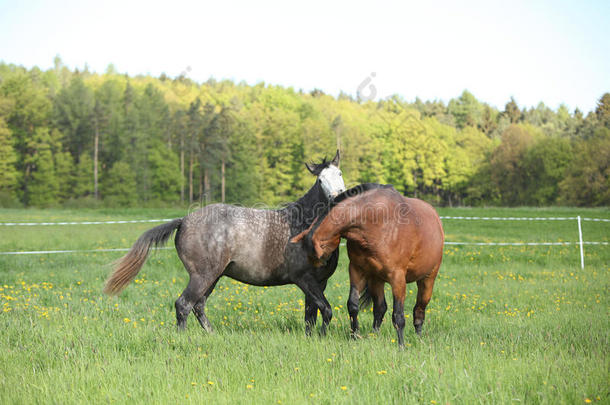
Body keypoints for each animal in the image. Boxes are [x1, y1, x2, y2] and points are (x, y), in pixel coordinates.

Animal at [102, 152, 344, 334]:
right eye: (320, 180)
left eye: (340, 173)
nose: (337, 197)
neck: (302, 225)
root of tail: (184, 221)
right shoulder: (303, 278)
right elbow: (326, 310)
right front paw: (322, 336)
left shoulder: (318, 282)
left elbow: (311, 315)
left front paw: (312, 337)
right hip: (203, 275)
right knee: (184, 304)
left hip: (213, 277)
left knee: (198, 306)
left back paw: (212, 335)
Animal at [290, 185, 442, 346]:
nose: (316, 277)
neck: (377, 223)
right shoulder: (357, 270)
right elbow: (353, 305)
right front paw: (354, 336)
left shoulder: (397, 277)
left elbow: (398, 315)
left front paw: (401, 346)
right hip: (376, 280)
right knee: (380, 308)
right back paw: (375, 335)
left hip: (427, 280)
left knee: (419, 310)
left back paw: (419, 338)